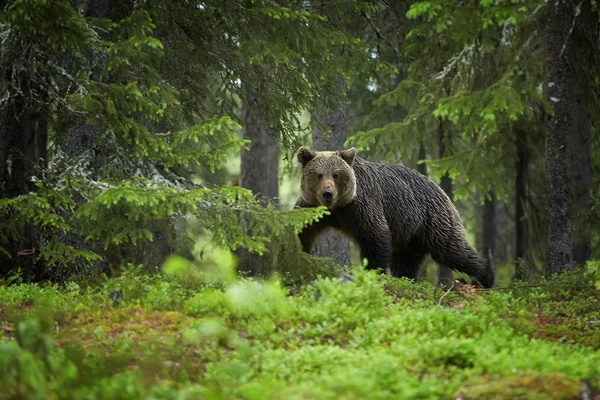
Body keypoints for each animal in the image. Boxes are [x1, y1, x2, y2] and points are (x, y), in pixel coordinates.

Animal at [292, 146, 494, 288]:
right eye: (318, 175)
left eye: (336, 174)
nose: (328, 194)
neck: (337, 208)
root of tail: (439, 188)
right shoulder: (311, 209)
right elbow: (301, 232)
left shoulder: (362, 206)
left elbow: (375, 237)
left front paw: (373, 272)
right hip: (410, 235)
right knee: (406, 261)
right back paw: (408, 279)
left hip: (432, 219)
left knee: (452, 249)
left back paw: (486, 276)